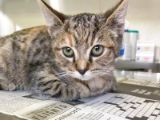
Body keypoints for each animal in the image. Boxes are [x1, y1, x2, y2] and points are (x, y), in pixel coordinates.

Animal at [0, 0, 128, 101]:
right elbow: (69, 90)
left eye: (97, 49)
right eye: (67, 51)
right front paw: (84, 88)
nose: (82, 70)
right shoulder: (39, 76)